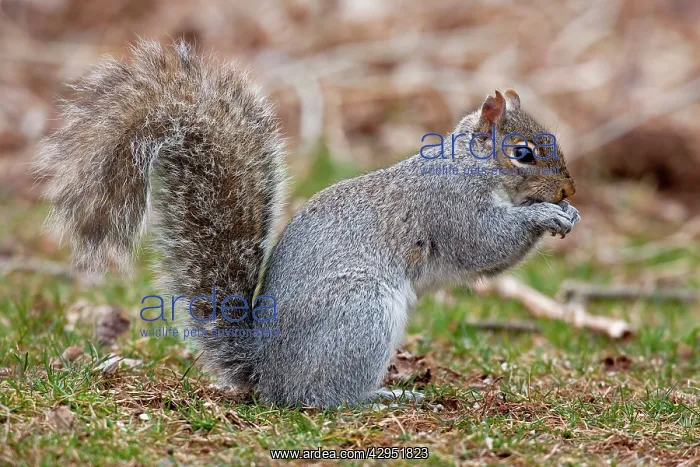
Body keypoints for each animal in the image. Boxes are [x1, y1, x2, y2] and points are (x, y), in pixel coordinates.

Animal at [34, 40, 579, 408]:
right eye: (523, 154)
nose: (569, 192)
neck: (468, 165)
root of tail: (267, 374)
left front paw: (566, 214)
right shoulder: (452, 208)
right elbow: (485, 245)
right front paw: (545, 215)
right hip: (360, 313)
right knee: (322, 396)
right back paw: (381, 397)